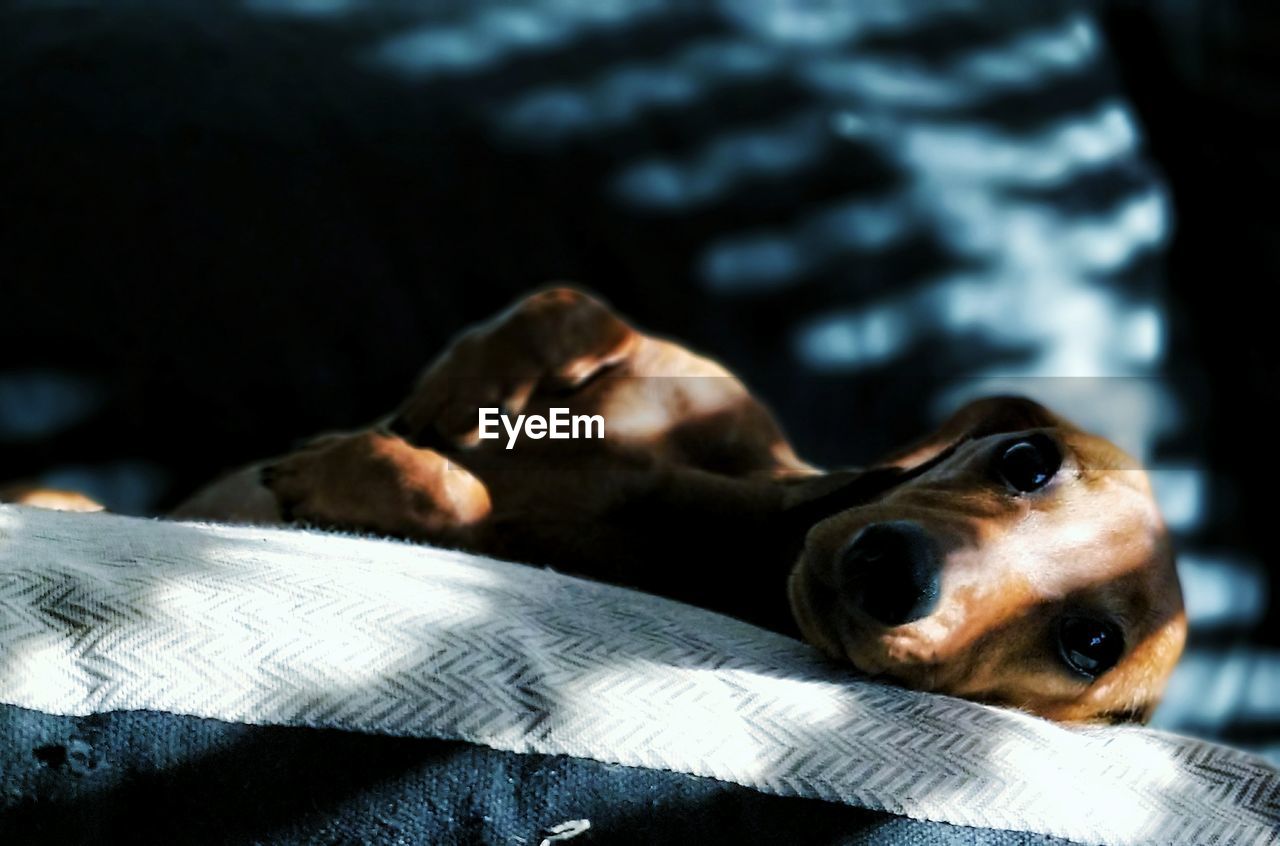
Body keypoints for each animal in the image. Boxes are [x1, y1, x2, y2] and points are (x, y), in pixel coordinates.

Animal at [175, 289, 1182, 721]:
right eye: (1027, 459)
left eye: (1091, 644)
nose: (894, 572)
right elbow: (570, 312)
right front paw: (460, 393)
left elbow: (457, 501)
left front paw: (346, 475)